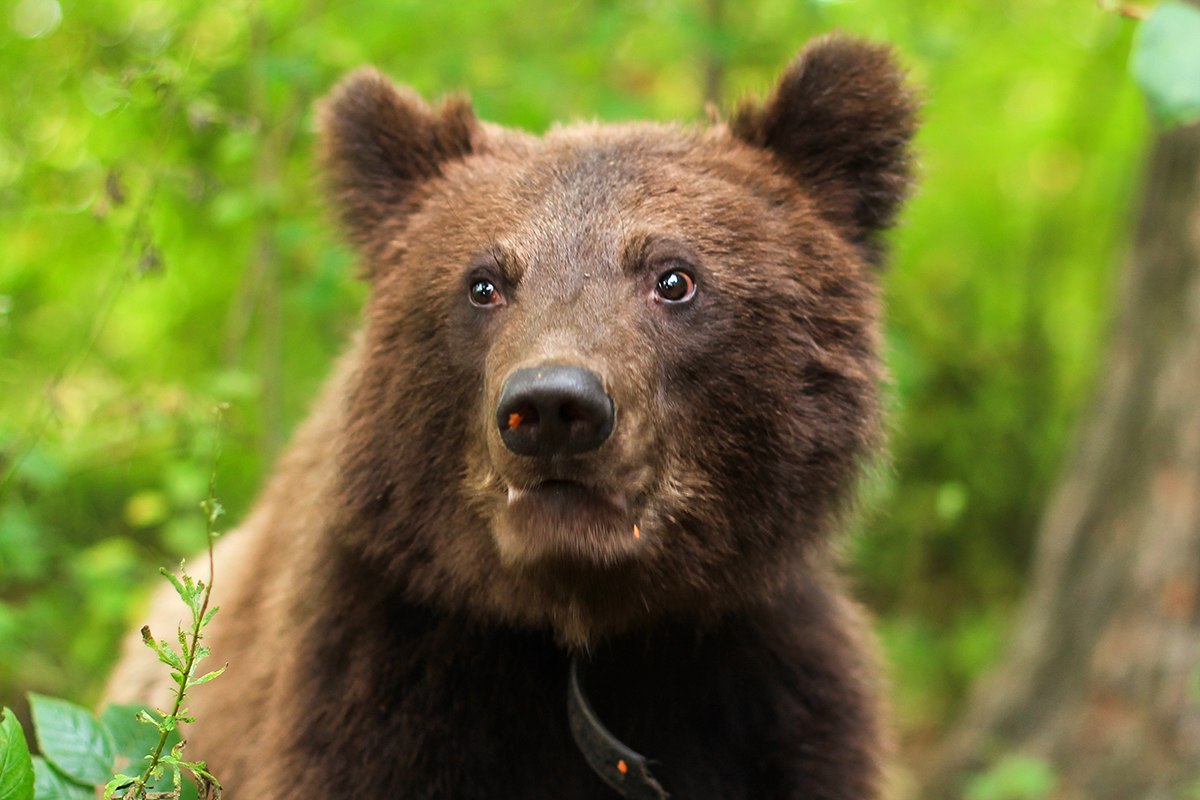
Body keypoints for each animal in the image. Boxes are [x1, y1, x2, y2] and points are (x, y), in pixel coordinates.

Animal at [108, 35, 912, 800]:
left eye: (675, 277)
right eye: (483, 283)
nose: (553, 408)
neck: (589, 630)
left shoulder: (764, 697)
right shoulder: (380, 688)